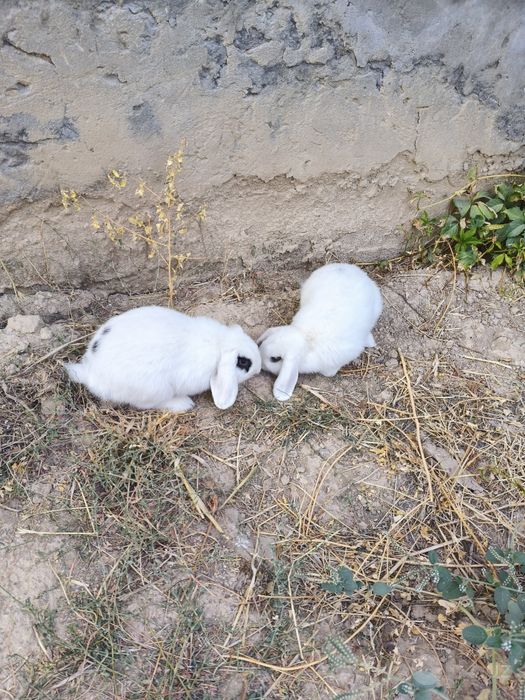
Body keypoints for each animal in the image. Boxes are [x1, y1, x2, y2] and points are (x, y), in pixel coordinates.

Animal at [64, 306, 261, 412]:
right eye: (243, 362)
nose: (259, 368)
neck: (220, 344)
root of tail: (91, 373)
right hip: (155, 390)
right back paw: (184, 404)